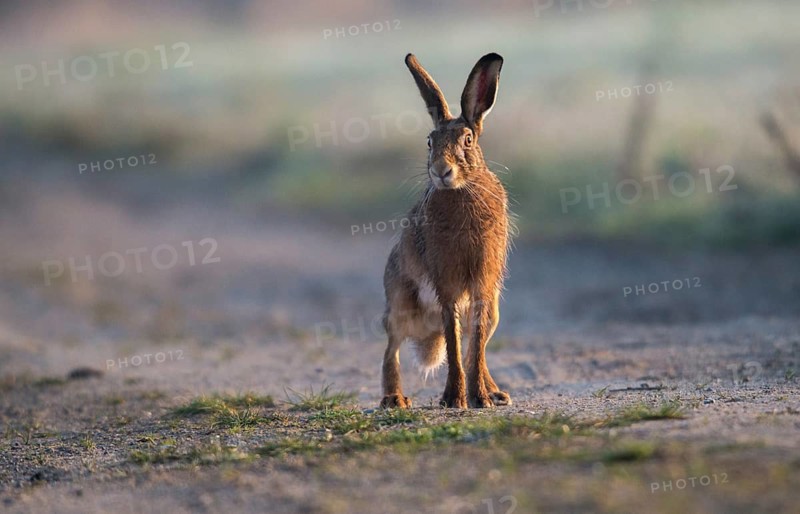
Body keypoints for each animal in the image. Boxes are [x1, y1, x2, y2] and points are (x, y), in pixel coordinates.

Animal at [380, 53, 511, 409]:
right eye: (429, 142)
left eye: (467, 140)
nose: (442, 171)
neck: (461, 190)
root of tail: (428, 336)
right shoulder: (446, 282)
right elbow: (454, 341)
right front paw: (455, 399)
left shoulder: (483, 283)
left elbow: (473, 344)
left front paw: (479, 398)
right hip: (399, 305)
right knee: (392, 348)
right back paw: (394, 399)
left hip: (495, 311)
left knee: (476, 348)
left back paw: (496, 393)